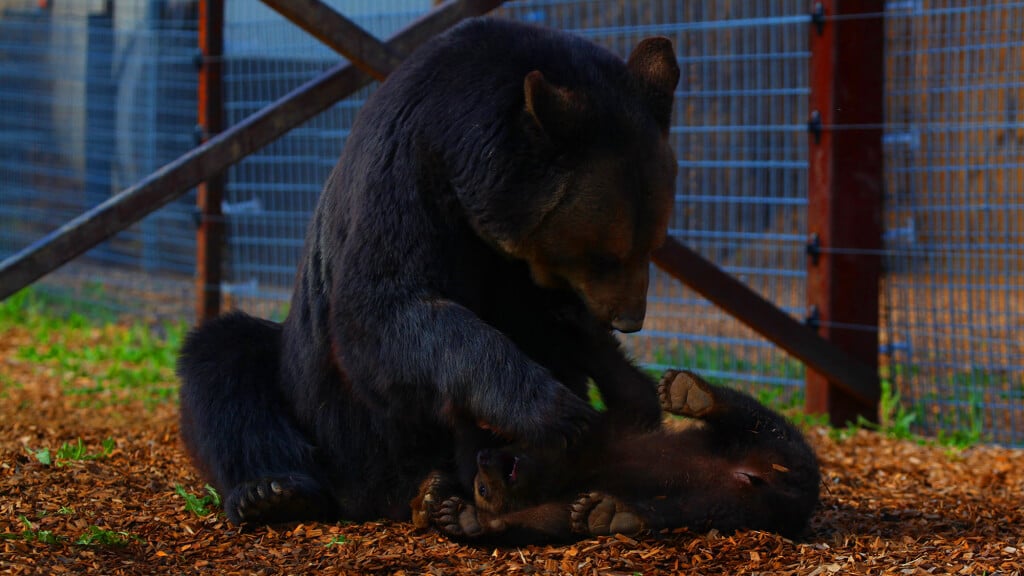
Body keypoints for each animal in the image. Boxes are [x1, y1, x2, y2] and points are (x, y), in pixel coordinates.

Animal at [180, 15, 684, 522]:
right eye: (604, 254)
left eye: (653, 243)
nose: (630, 319)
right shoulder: (407, 171)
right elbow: (383, 307)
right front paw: (554, 410)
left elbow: (554, 324)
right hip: (322, 415)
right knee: (226, 363)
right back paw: (274, 492)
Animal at [411, 368, 819, 541]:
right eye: (481, 489)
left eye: (504, 447)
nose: (484, 459)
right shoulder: (567, 488)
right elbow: (551, 517)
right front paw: (463, 517)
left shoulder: (610, 430)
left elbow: (631, 395)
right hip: (740, 506)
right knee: (689, 509)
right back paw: (609, 514)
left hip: (766, 446)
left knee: (752, 417)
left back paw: (692, 393)